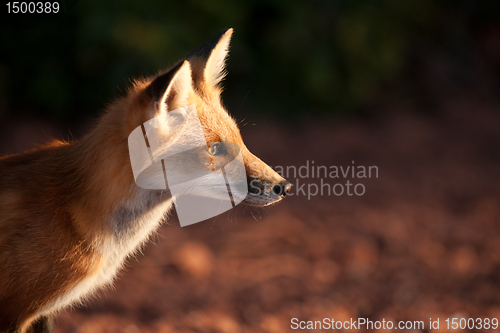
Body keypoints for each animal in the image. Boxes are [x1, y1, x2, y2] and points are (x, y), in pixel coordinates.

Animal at [0, 29, 292, 332]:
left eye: (240, 140)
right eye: (214, 150)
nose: (284, 186)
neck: (74, 208)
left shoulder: (42, 314)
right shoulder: (17, 310)